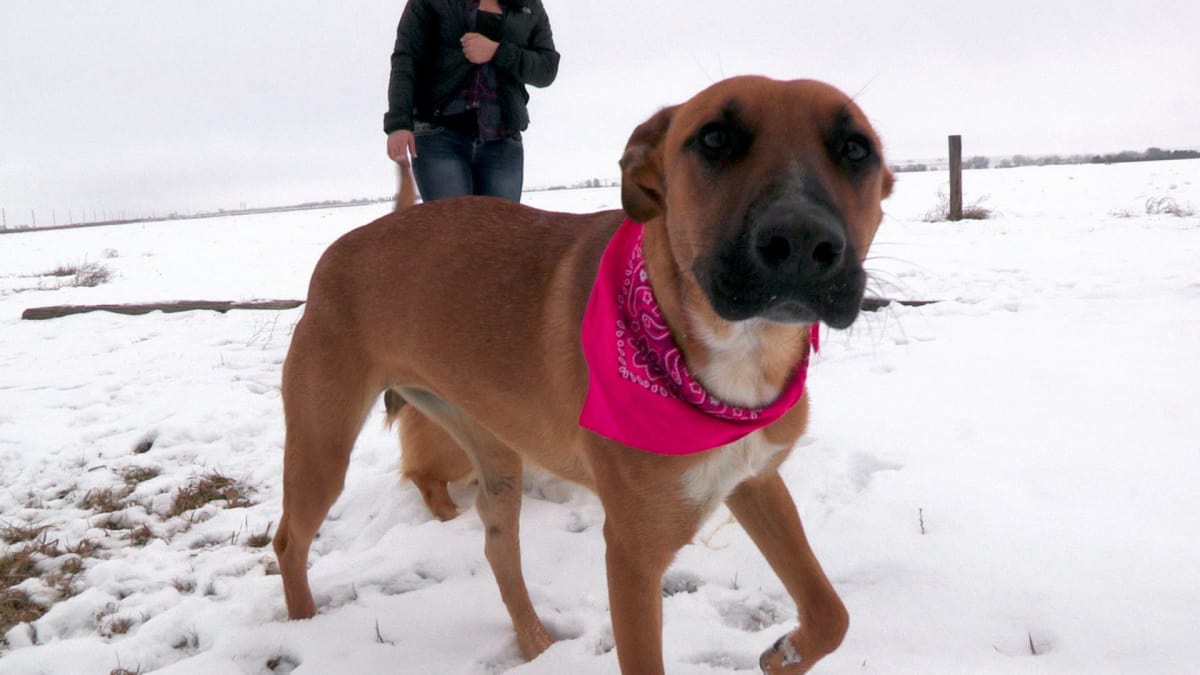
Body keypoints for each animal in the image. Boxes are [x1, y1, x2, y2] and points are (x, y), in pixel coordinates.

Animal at [274, 74, 892, 672]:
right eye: (714, 138)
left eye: (856, 148)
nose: (802, 241)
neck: (732, 358)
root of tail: (346, 244)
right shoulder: (634, 553)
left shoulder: (754, 478)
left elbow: (832, 613)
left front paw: (784, 655)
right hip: (322, 447)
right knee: (288, 541)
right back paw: (304, 622)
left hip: (492, 448)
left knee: (497, 545)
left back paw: (535, 642)